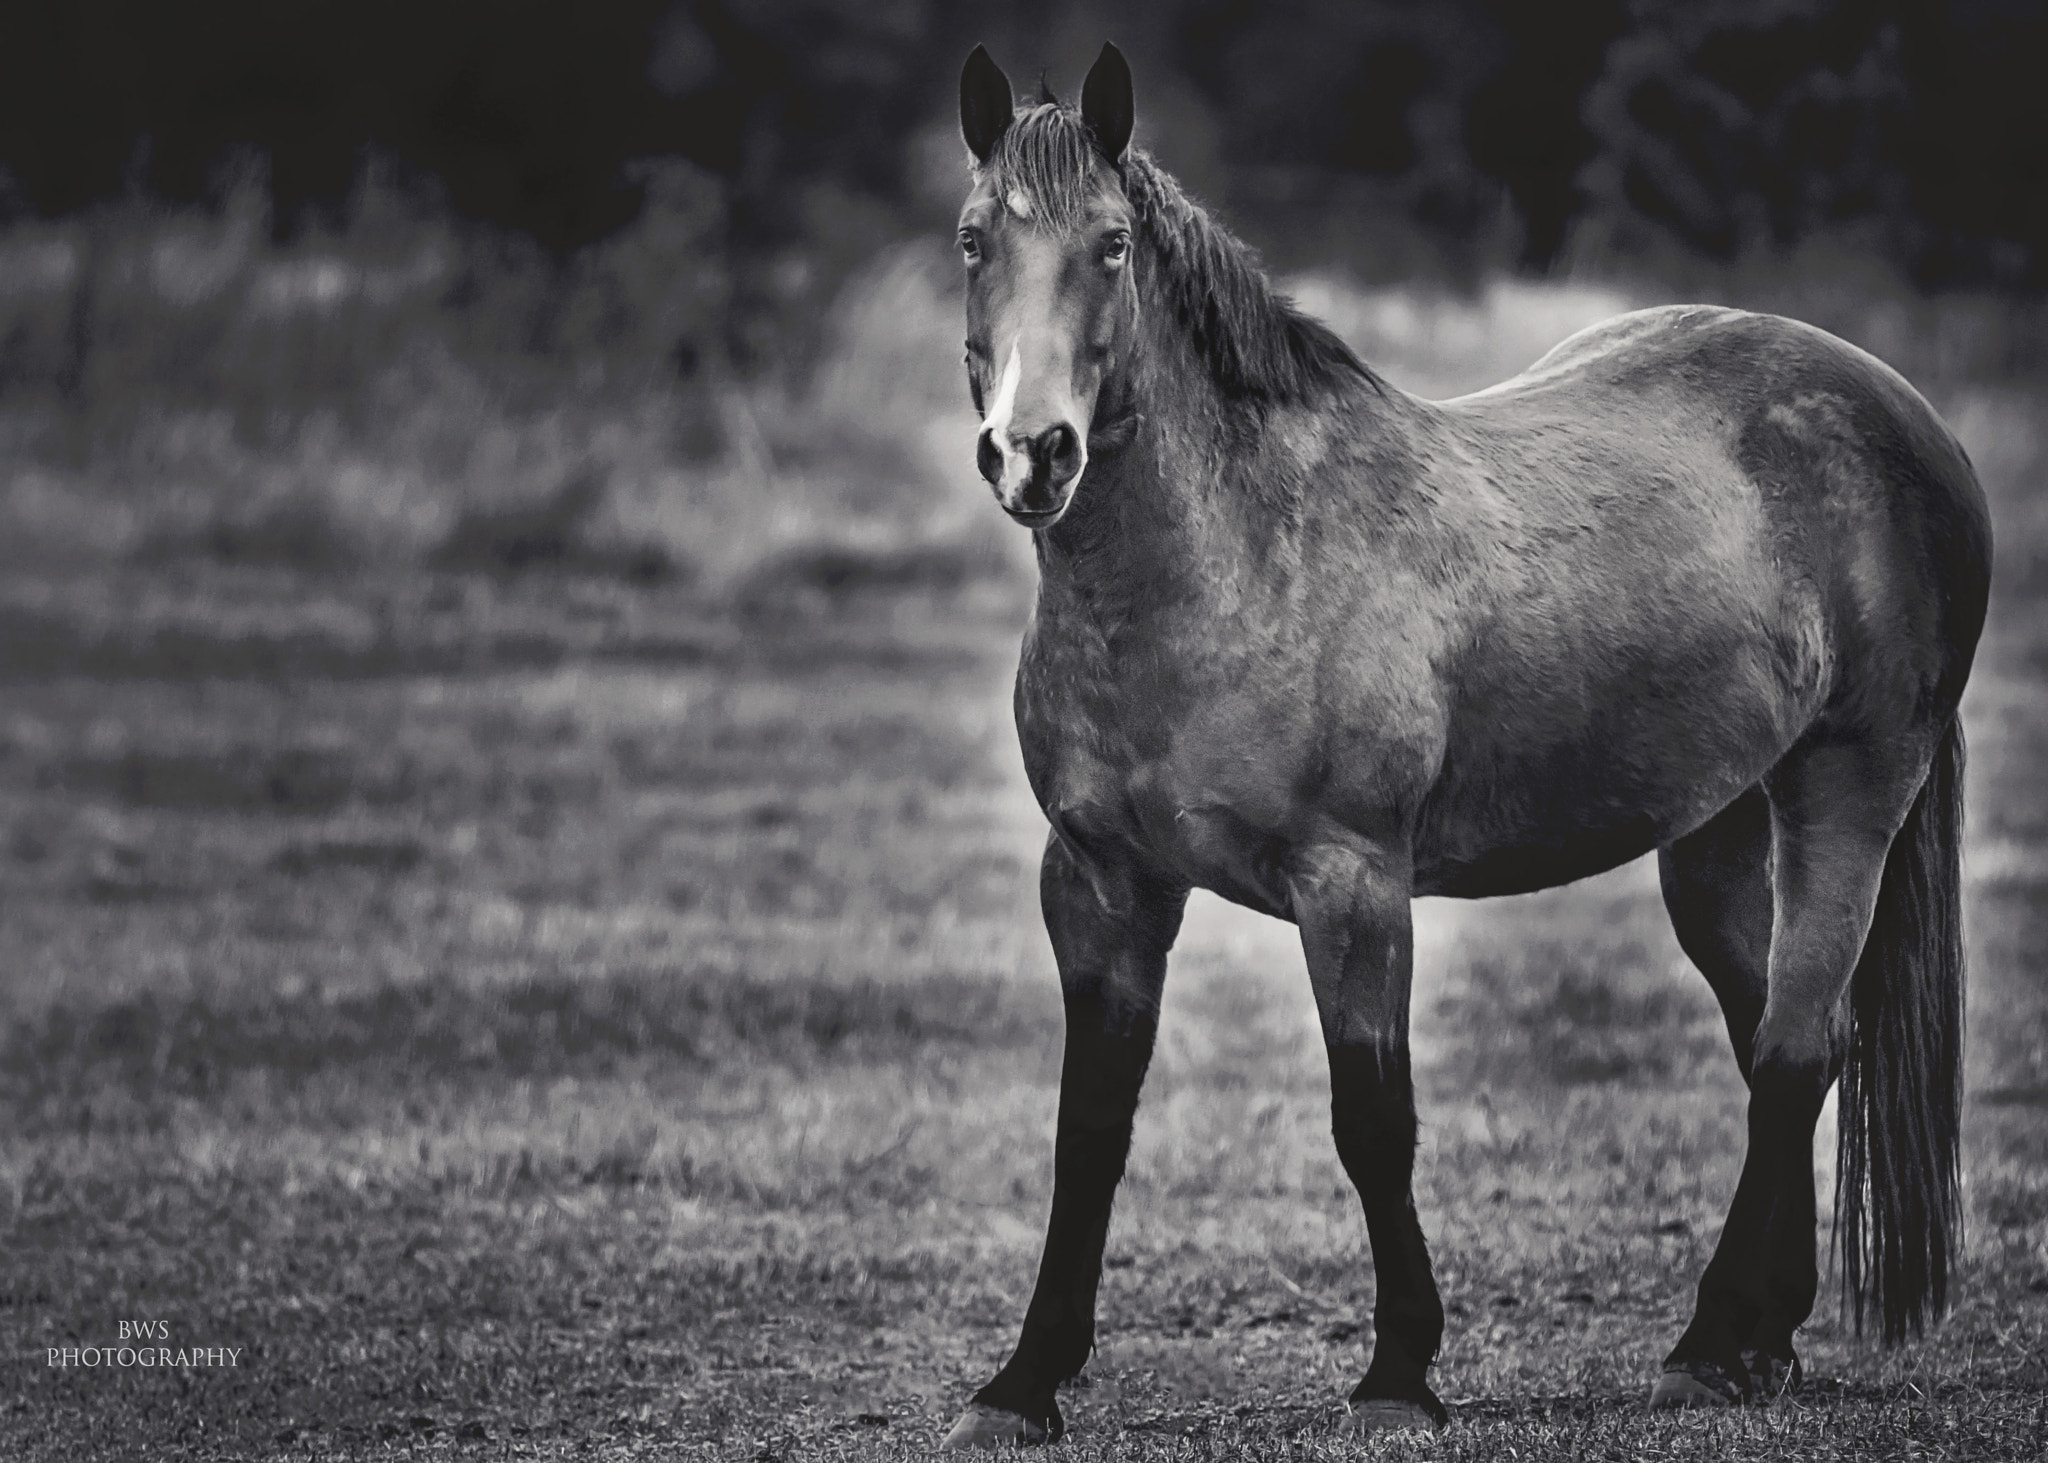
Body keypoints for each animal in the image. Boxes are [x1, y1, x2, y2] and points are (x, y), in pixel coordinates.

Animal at [938, 42, 1992, 1447]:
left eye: (1109, 246)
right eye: (970, 240)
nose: (1031, 451)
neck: (1224, 562)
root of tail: (1900, 410)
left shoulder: (1352, 886)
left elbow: (1372, 1119)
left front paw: (1397, 1373)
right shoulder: (1101, 886)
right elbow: (1088, 1128)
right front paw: (1023, 1382)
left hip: (1848, 789)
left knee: (1790, 1049)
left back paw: (1707, 1344)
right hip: (1713, 832)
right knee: (1785, 1041)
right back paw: (1757, 1341)